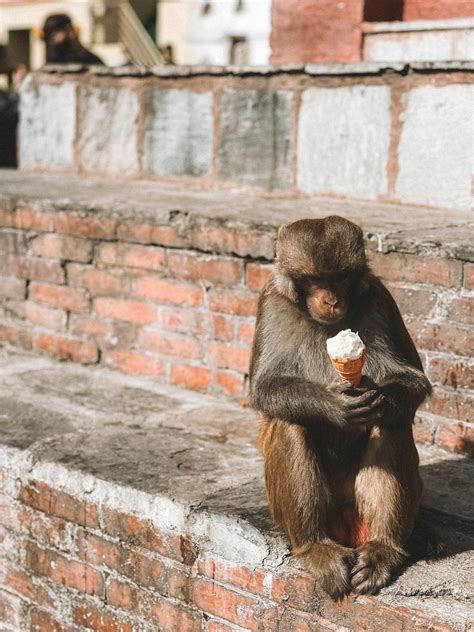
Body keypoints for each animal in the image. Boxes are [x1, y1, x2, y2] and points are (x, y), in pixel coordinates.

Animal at [250, 218, 432, 604]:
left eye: (339, 278)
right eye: (313, 280)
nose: (331, 299)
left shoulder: (380, 299)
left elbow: (411, 382)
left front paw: (379, 395)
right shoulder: (272, 303)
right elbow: (265, 387)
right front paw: (334, 406)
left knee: (391, 423)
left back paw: (383, 548)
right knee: (291, 422)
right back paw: (315, 546)